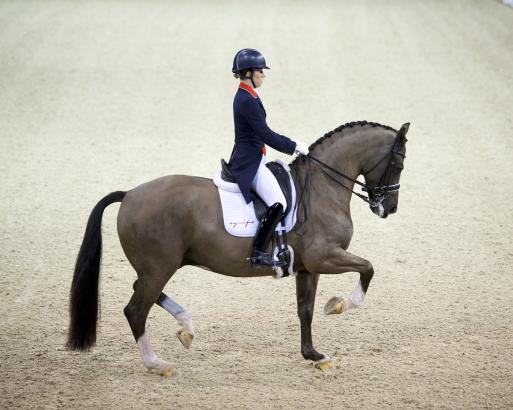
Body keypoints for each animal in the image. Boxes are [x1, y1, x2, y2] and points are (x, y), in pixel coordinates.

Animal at [67, 119, 408, 374]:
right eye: (399, 162)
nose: (389, 208)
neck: (322, 188)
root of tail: (129, 195)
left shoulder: (307, 267)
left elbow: (305, 310)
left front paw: (313, 355)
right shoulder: (324, 258)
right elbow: (368, 269)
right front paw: (338, 305)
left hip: (158, 267)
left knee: (141, 291)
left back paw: (186, 326)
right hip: (159, 268)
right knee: (136, 310)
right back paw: (157, 364)